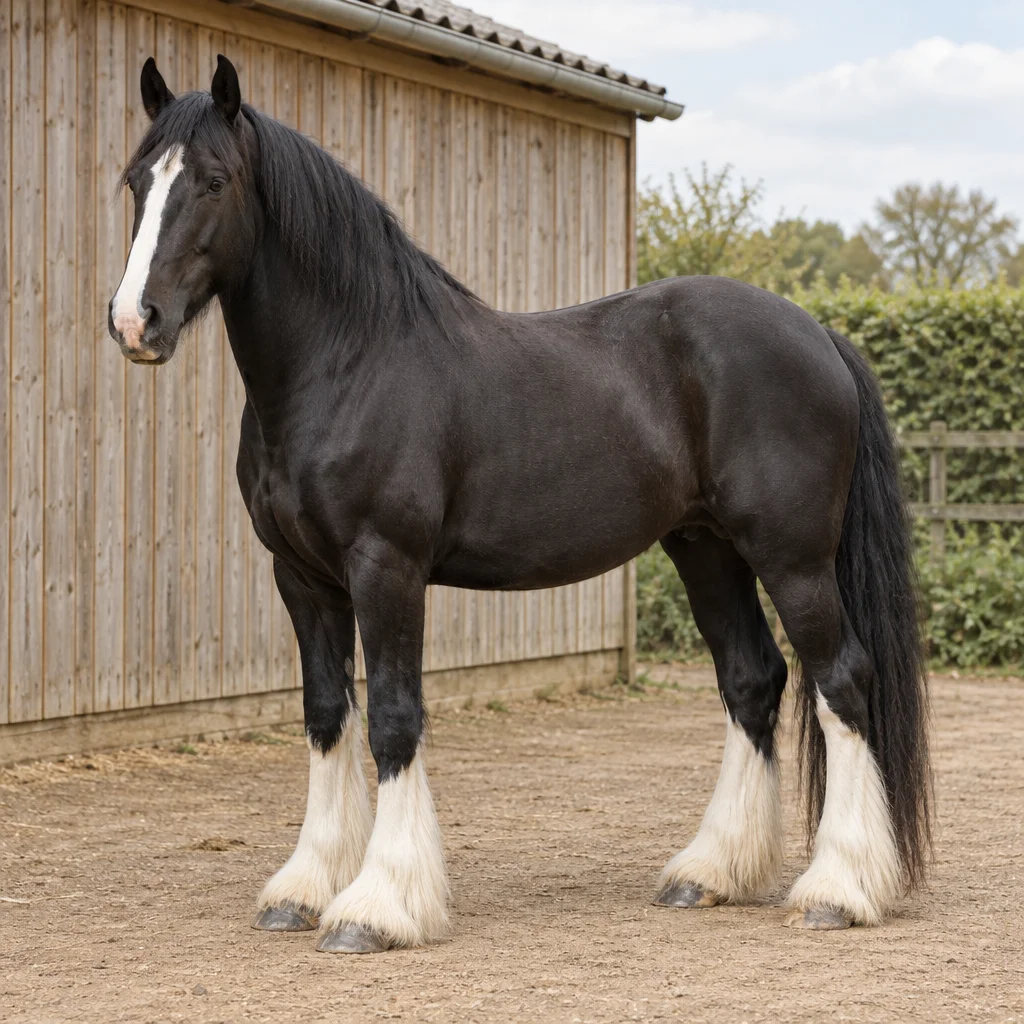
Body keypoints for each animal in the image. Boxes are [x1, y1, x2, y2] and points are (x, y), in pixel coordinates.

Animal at [107, 55, 930, 954]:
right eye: (137, 181)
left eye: (213, 181)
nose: (135, 322)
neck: (349, 361)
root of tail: (819, 335)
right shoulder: (301, 577)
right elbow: (327, 714)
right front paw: (305, 887)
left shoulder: (386, 567)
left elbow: (393, 718)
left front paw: (377, 906)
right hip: (704, 547)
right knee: (753, 680)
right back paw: (708, 872)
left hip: (793, 557)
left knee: (841, 682)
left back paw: (839, 889)